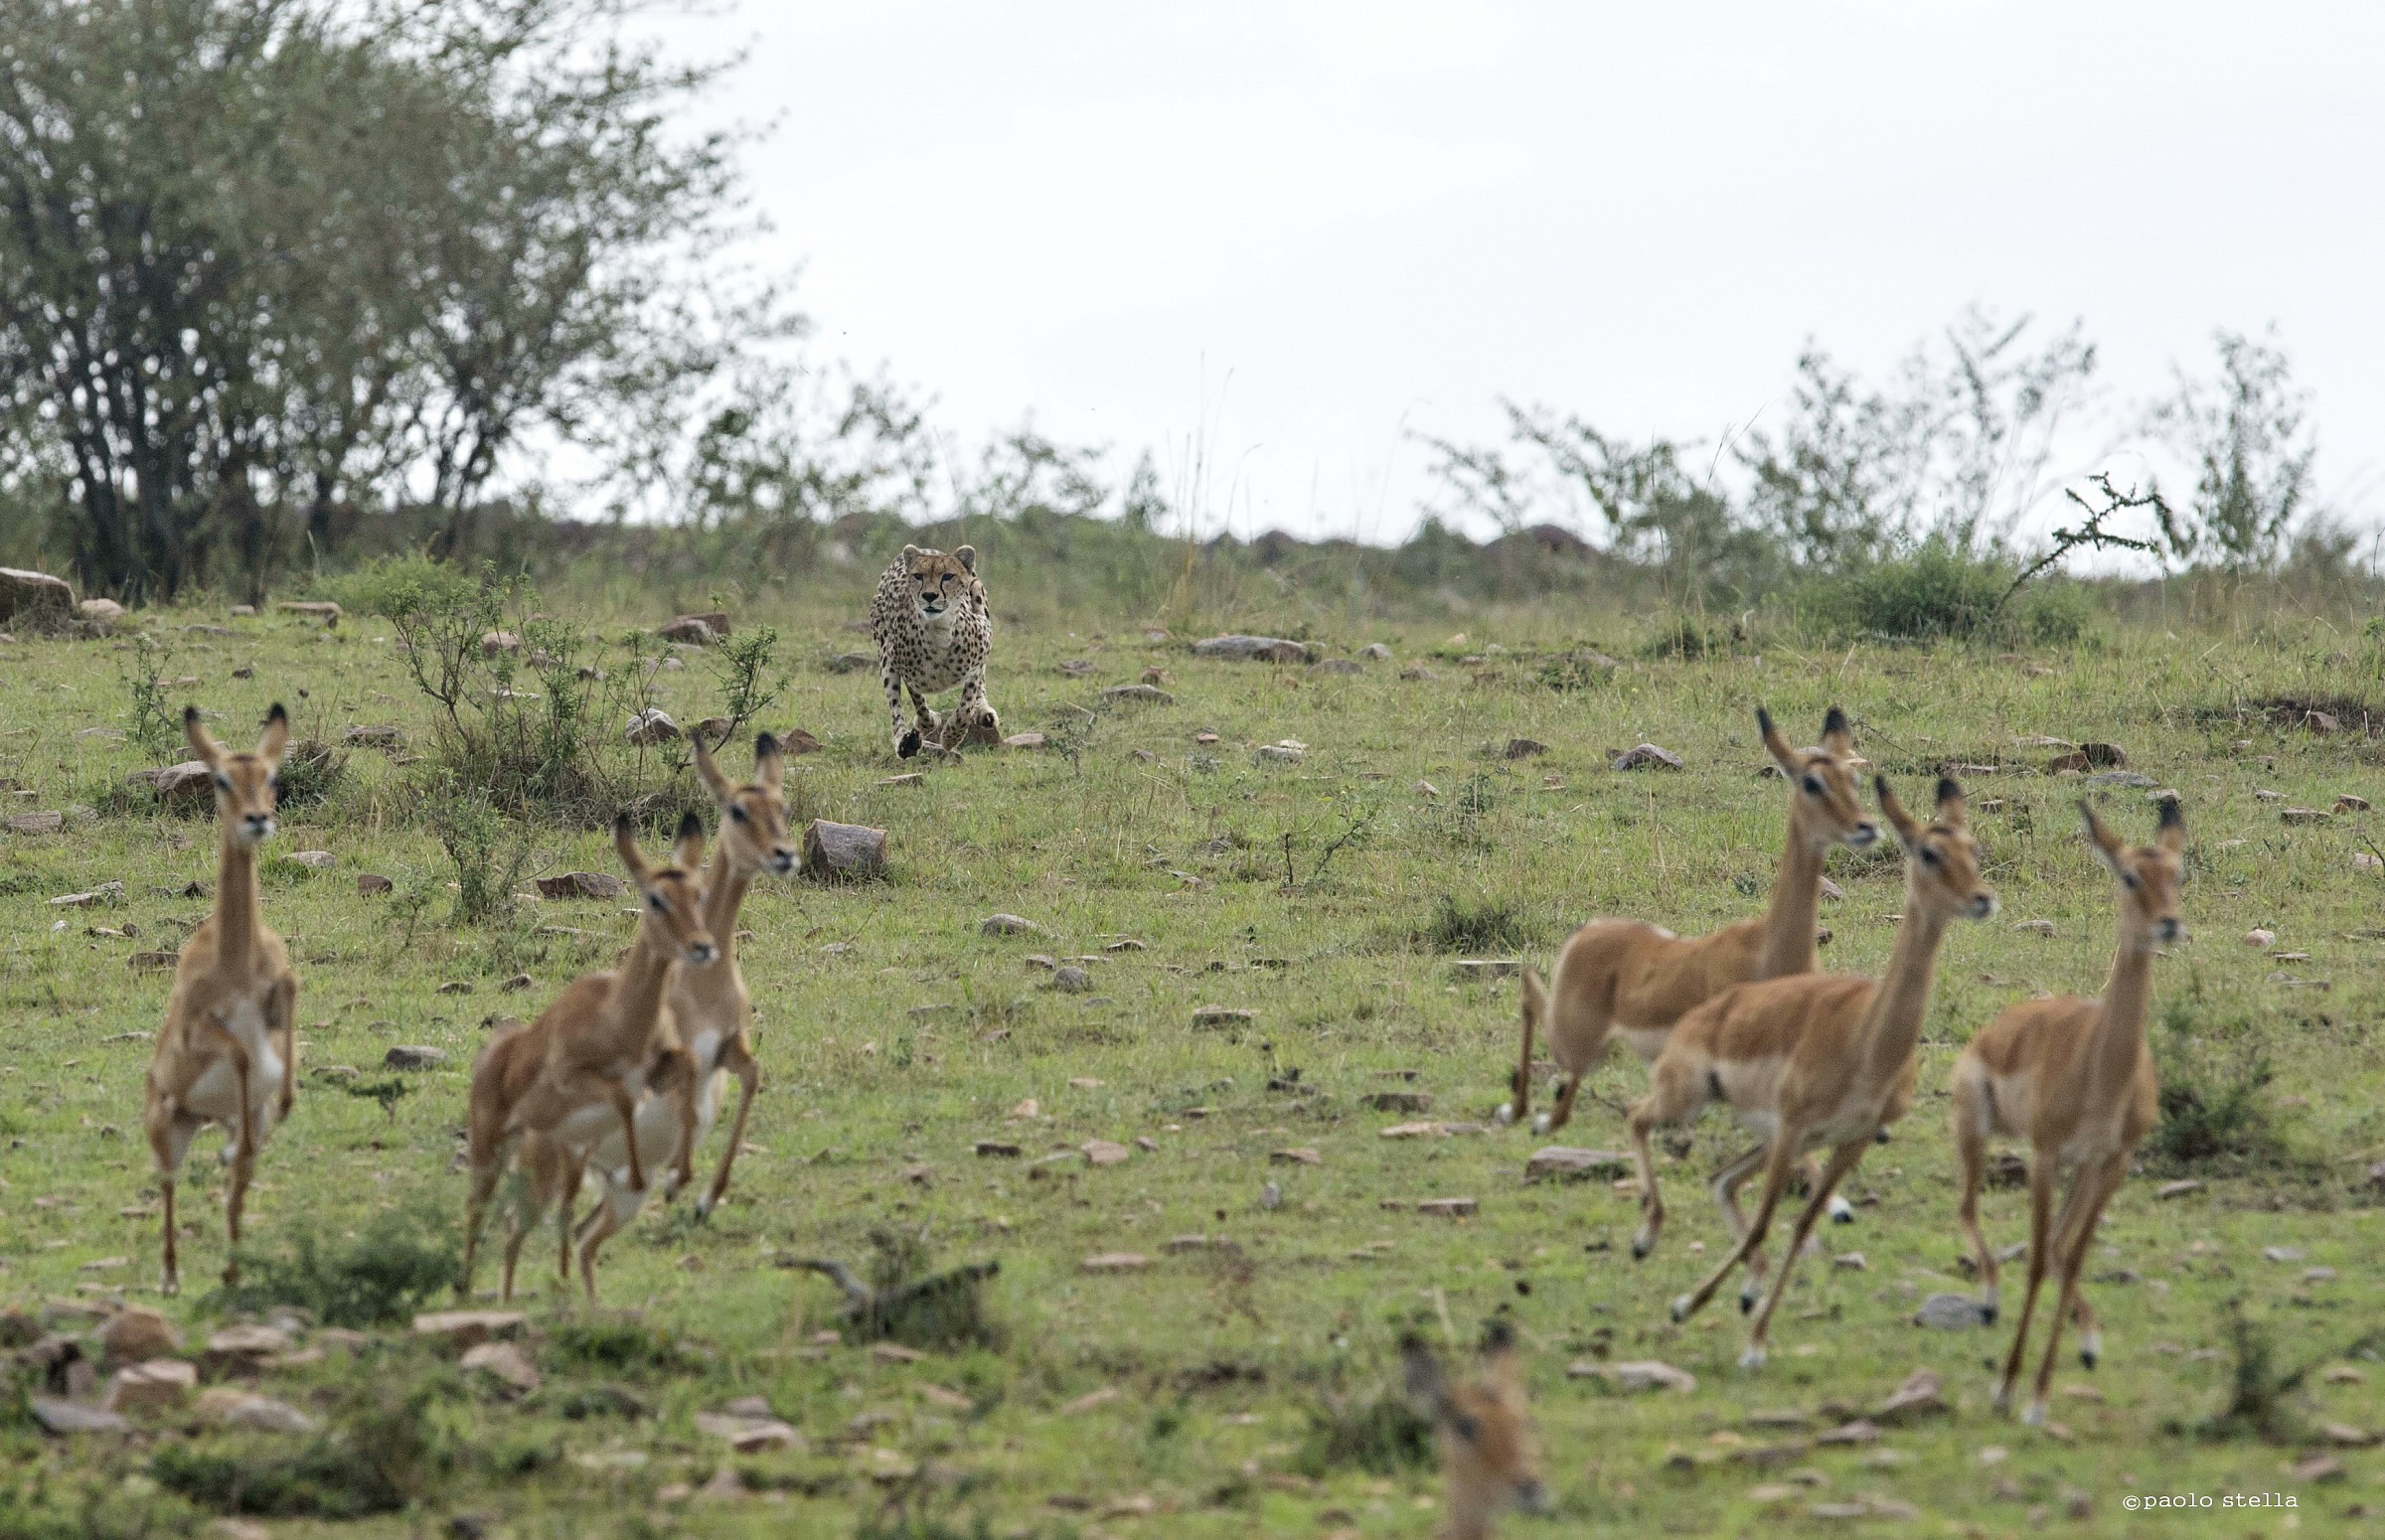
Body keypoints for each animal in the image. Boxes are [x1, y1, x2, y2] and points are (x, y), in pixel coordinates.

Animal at [868, 544, 996, 758]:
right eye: (918, 576)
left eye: (948, 576)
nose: (929, 596)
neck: (939, 631)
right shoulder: (903, 668)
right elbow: (919, 704)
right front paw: (926, 724)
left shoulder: (981, 649)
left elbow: (967, 703)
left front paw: (951, 737)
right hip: (885, 653)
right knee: (895, 705)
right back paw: (904, 741)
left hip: (978, 593)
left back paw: (984, 712)